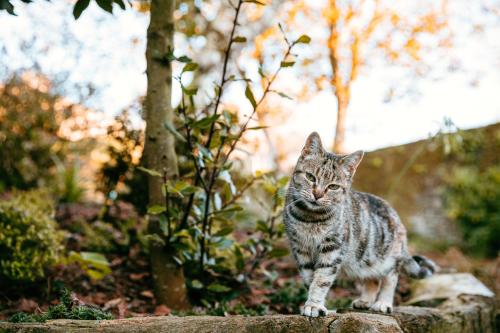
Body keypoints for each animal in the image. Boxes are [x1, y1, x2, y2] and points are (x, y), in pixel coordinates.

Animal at [284, 132, 436, 316]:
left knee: (390, 278)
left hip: (389, 258)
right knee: (371, 279)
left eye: (333, 186)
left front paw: (314, 305)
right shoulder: (300, 248)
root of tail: (395, 215)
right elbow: (309, 278)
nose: (318, 194)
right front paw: (310, 303)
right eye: (310, 177)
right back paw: (365, 301)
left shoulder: (332, 248)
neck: (310, 219)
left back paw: (383, 302)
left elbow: (321, 279)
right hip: (365, 259)